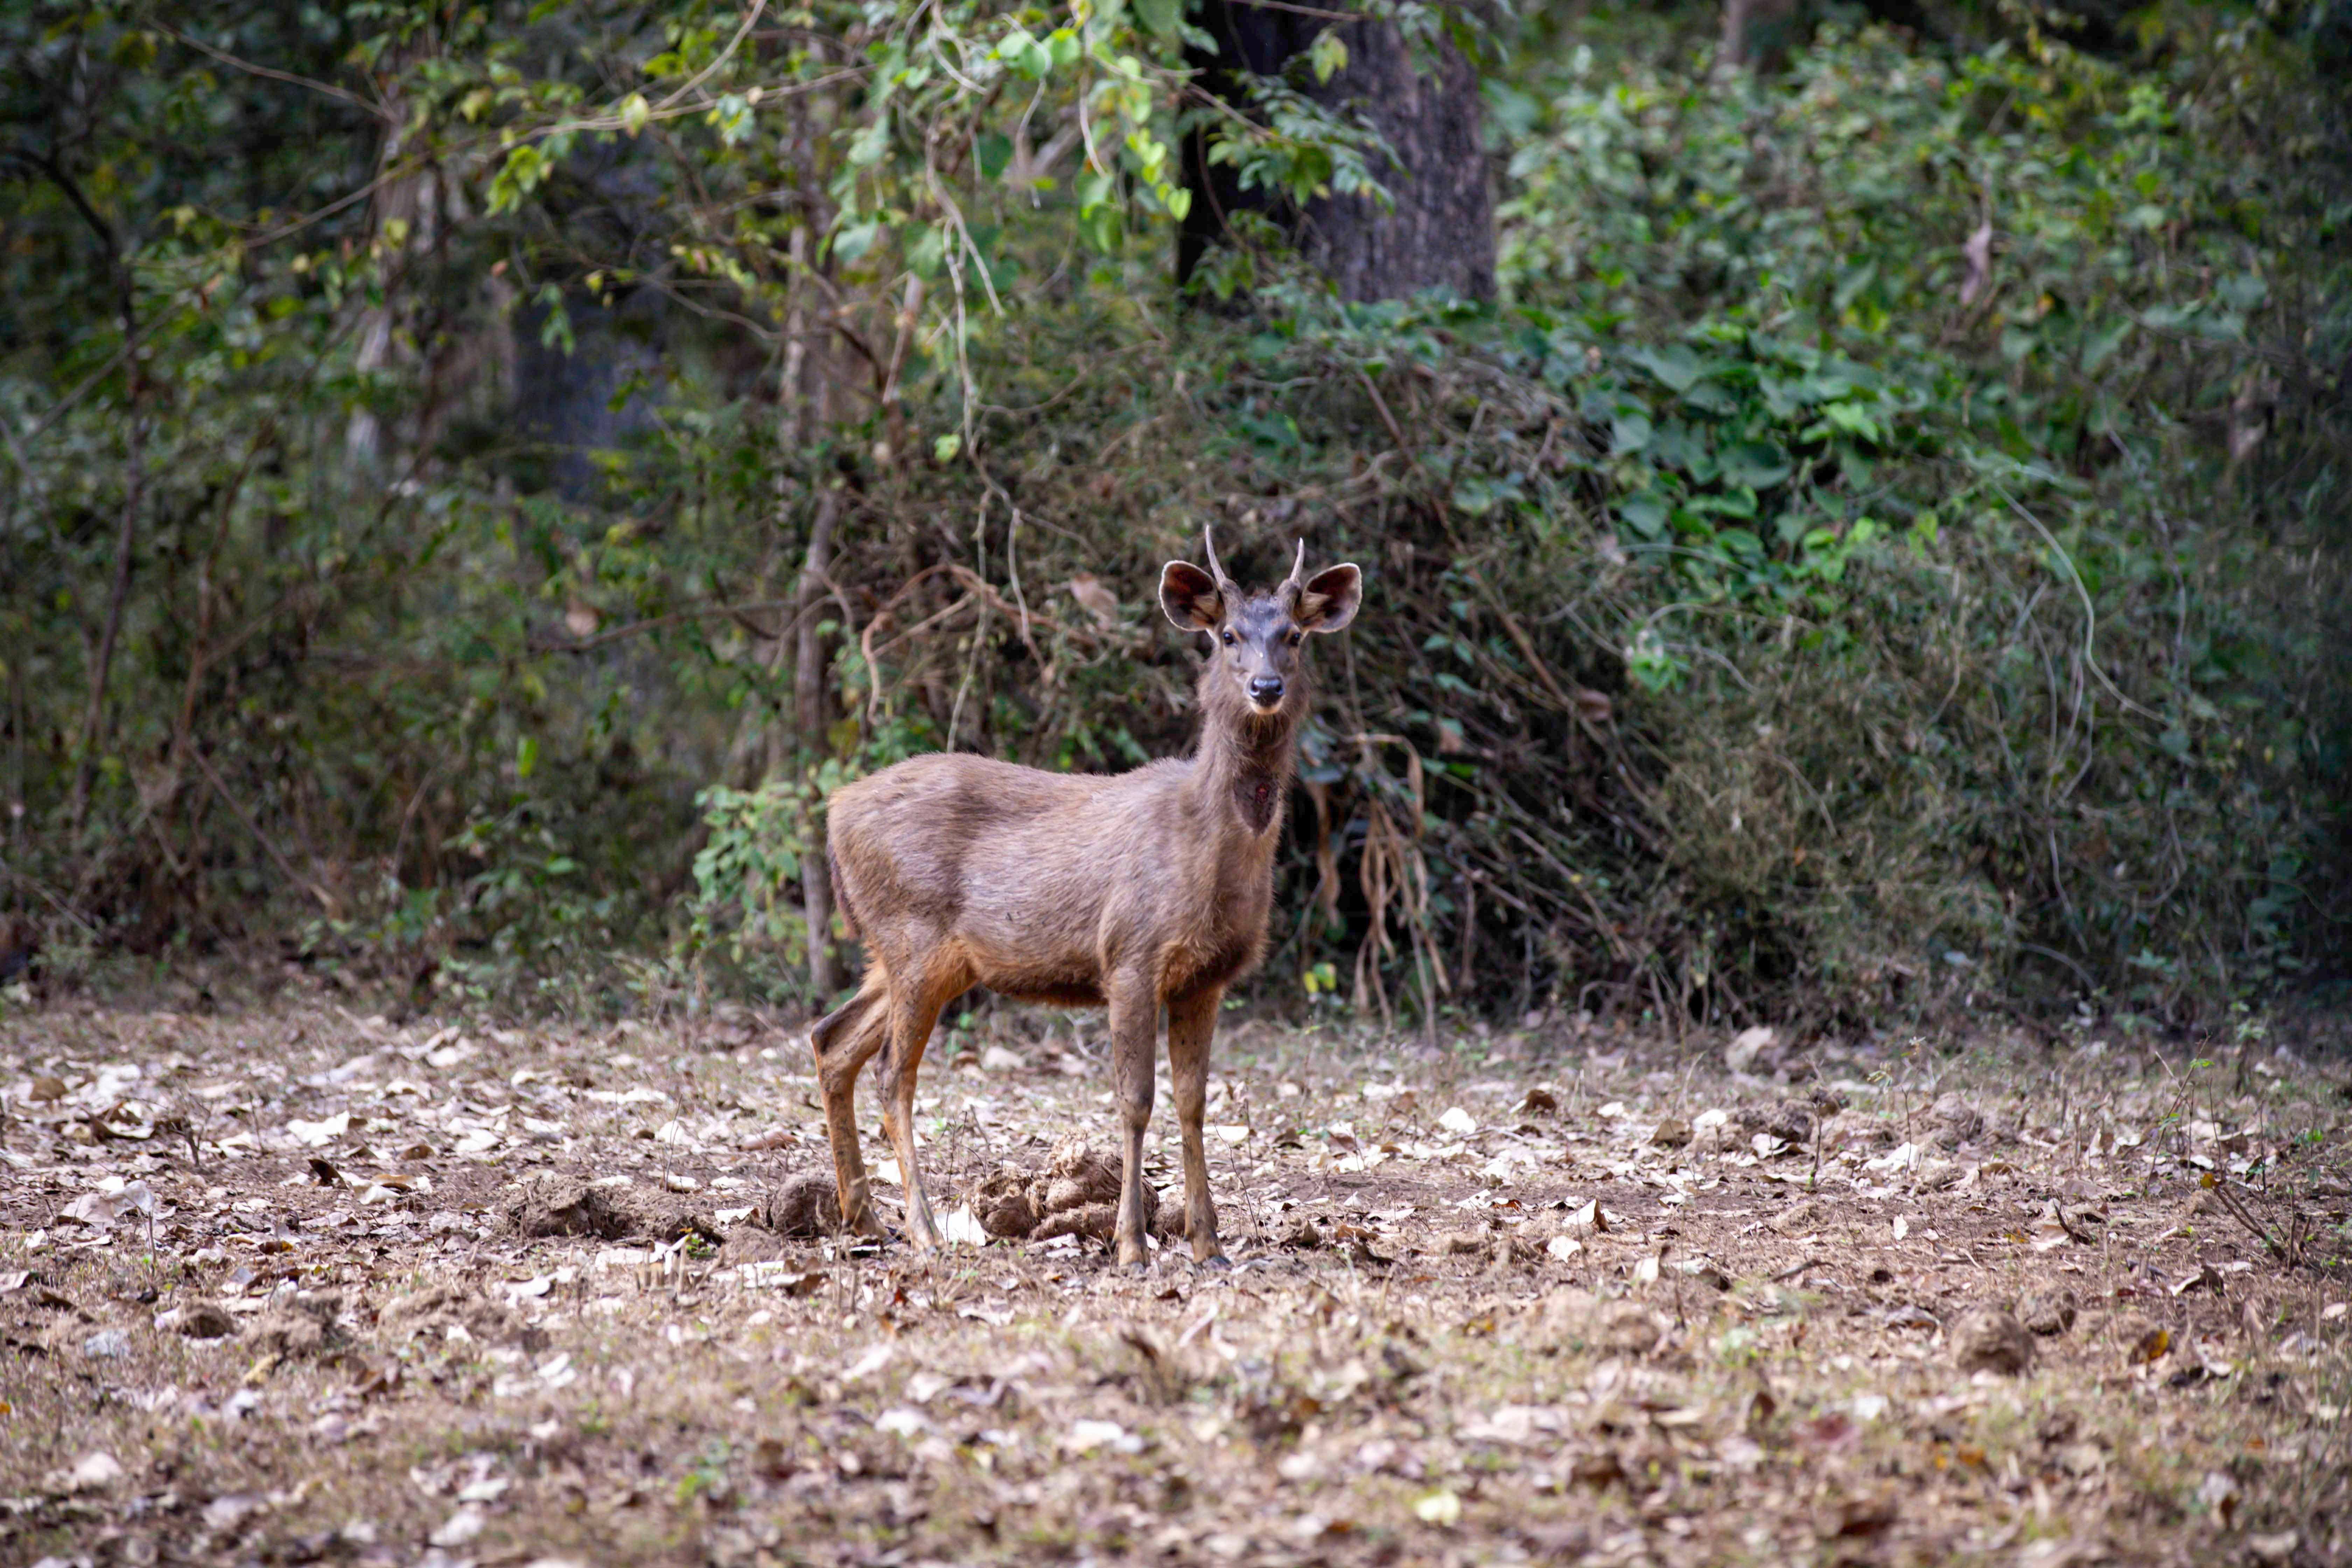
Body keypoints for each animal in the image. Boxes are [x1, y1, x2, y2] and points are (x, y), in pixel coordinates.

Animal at [807, 530, 1362, 1269]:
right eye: (1226, 636)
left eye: (1295, 636)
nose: (1266, 686)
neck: (1205, 851)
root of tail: (834, 812)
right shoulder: (1130, 953)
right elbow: (1136, 1099)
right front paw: (1132, 1244)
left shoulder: (1206, 978)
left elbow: (1194, 1103)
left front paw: (1209, 1244)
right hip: (913, 934)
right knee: (893, 1073)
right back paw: (922, 1228)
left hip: (912, 956)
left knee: (833, 1039)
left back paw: (863, 1218)